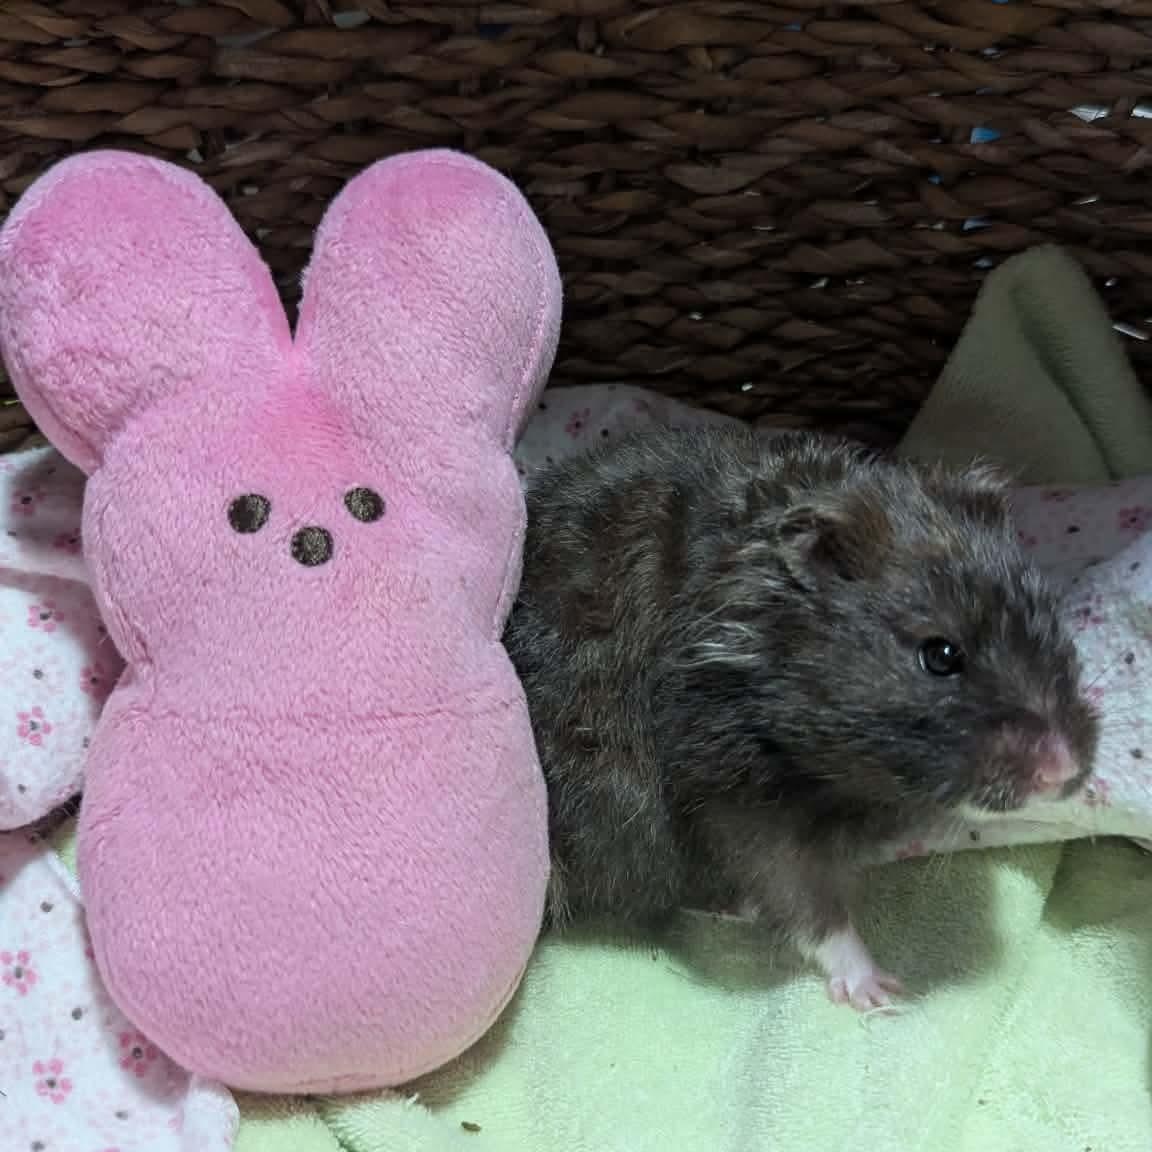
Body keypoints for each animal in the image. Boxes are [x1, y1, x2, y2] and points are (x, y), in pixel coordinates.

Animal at [504, 426, 1098, 1010]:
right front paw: (880, 992)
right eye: (940, 655)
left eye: (1052, 623)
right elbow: (804, 900)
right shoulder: (731, 796)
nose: (1065, 773)